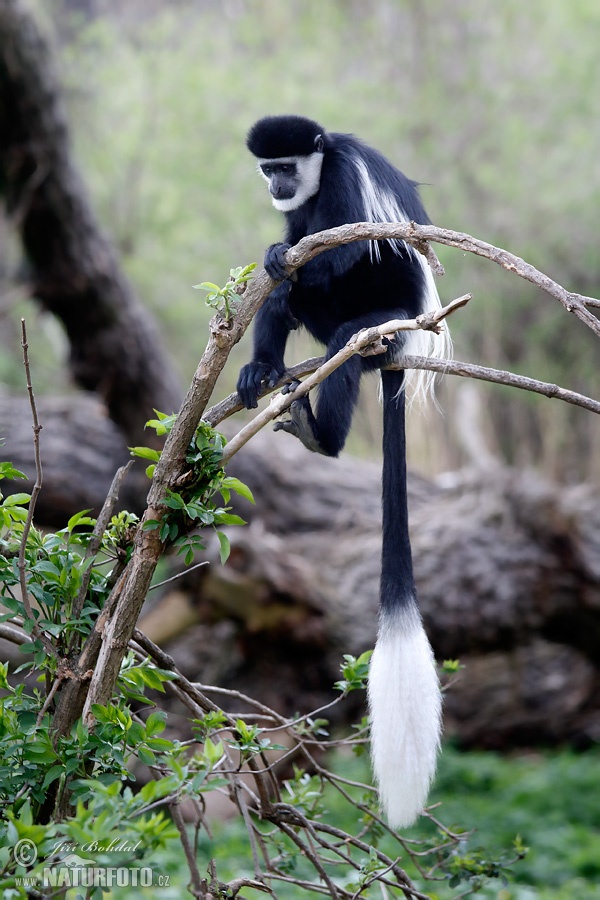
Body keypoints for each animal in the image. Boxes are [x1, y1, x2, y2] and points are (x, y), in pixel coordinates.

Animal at [237, 114, 448, 828]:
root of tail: (408, 343)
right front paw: (277, 256)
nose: (276, 185)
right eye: (268, 168)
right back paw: (262, 370)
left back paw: (323, 431)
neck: (320, 168)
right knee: (285, 303)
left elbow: (345, 248)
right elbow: (291, 253)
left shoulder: (347, 179)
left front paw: (280, 256)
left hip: (388, 318)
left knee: (342, 334)